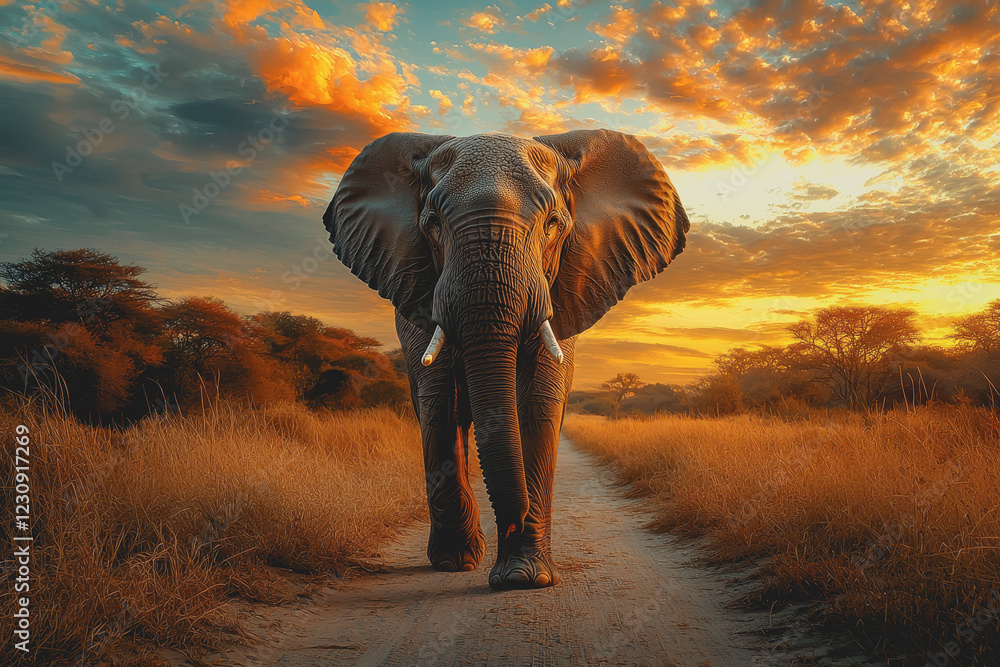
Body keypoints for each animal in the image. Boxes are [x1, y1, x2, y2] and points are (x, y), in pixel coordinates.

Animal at [323, 129, 688, 590]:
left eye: (553, 224)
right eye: (432, 223)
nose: (513, 520)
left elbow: (536, 403)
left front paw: (523, 577)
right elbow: (439, 403)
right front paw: (458, 561)